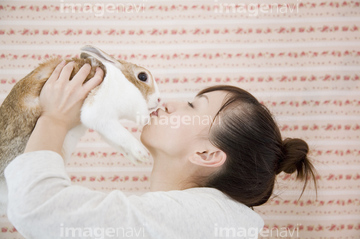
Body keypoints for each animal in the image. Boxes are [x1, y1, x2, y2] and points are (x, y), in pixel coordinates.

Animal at [0, 45, 160, 217]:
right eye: (142, 76)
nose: (159, 100)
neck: (120, 82)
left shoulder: (105, 126)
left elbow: (116, 140)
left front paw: (135, 158)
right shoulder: (98, 112)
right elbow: (122, 134)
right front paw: (142, 153)